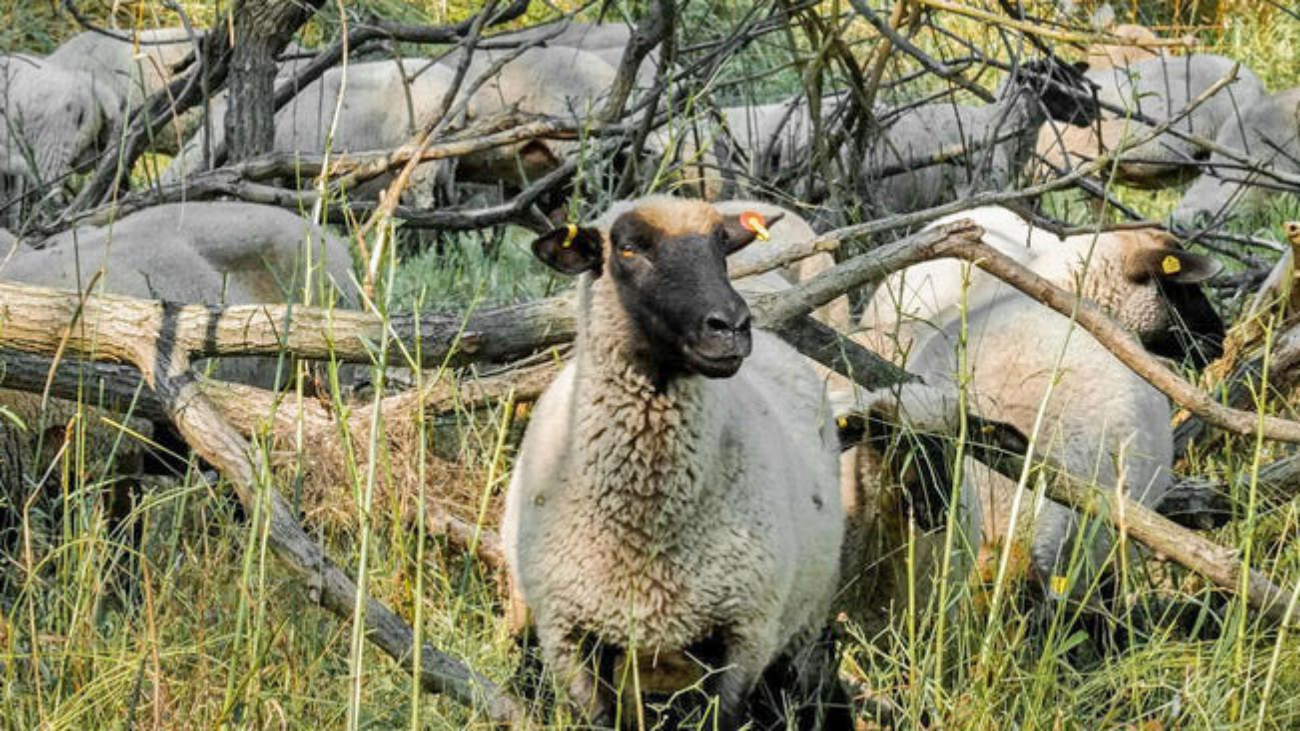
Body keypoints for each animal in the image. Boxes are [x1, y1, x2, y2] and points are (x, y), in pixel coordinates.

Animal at [501, 195, 848, 728]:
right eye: (628, 248)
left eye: (721, 245)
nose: (731, 326)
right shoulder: (570, 636)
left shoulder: (743, 636)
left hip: (799, 628)